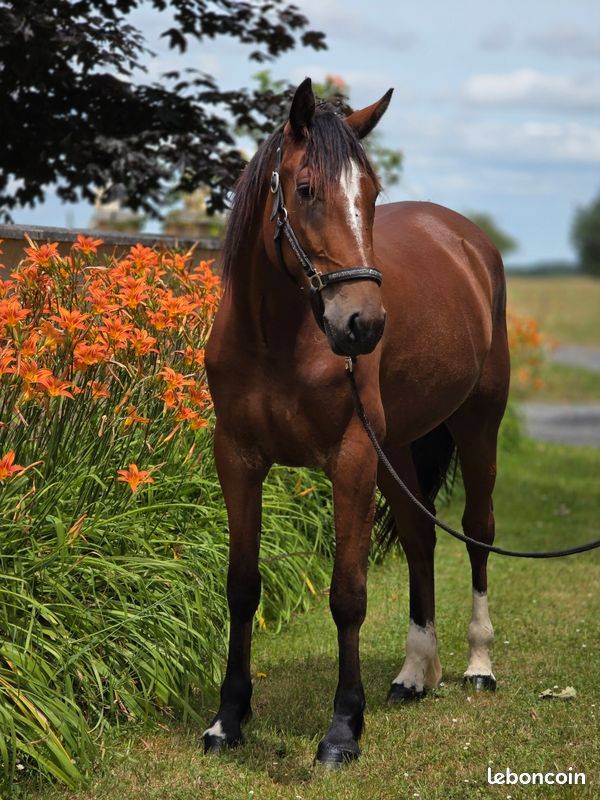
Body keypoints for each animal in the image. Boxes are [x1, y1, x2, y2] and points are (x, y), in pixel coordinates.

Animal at [204, 77, 510, 767]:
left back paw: (478, 665)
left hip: (478, 425)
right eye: (305, 189)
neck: (278, 342)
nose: (363, 326)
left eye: (370, 195)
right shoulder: (237, 458)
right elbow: (241, 585)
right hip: (396, 448)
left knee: (477, 533)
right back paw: (415, 675)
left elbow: (348, 592)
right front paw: (228, 720)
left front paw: (343, 728)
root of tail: (466, 240)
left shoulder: (350, 460)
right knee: (422, 538)